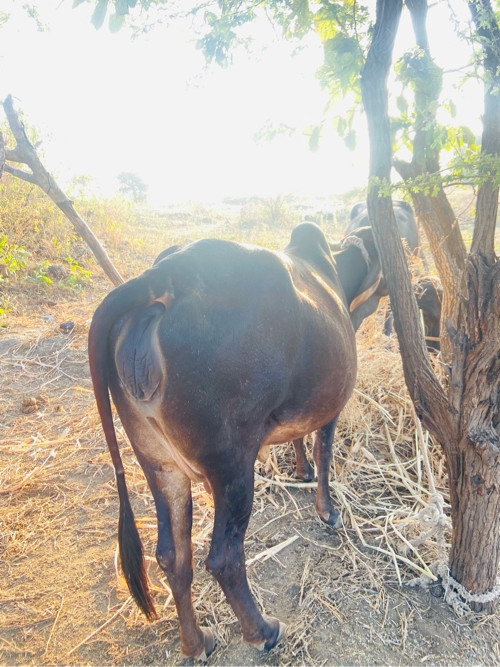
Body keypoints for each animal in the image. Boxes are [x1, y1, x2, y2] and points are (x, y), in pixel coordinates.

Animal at [88, 222, 380, 660]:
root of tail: (164, 276)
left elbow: (298, 442)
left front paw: (301, 472)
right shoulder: (332, 405)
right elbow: (324, 452)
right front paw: (328, 511)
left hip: (158, 462)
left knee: (172, 555)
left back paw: (195, 642)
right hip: (232, 467)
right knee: (224, 558)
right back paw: (262, 630)